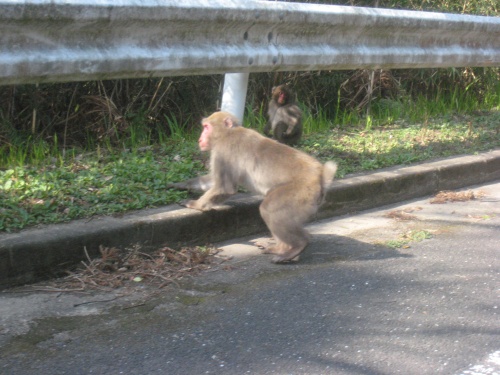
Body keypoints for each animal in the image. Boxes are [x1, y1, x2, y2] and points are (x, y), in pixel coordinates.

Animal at [184, 111, 336, 264]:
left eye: (206, 127)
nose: (200, 139)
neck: (227, 133)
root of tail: (320, 175)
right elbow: (214, 181)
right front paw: (183, 185)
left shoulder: (222, 151)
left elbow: (225, 187)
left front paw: (196, 204)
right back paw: (281, 248)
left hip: (301, 192)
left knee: (269, 209)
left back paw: (298, 245)